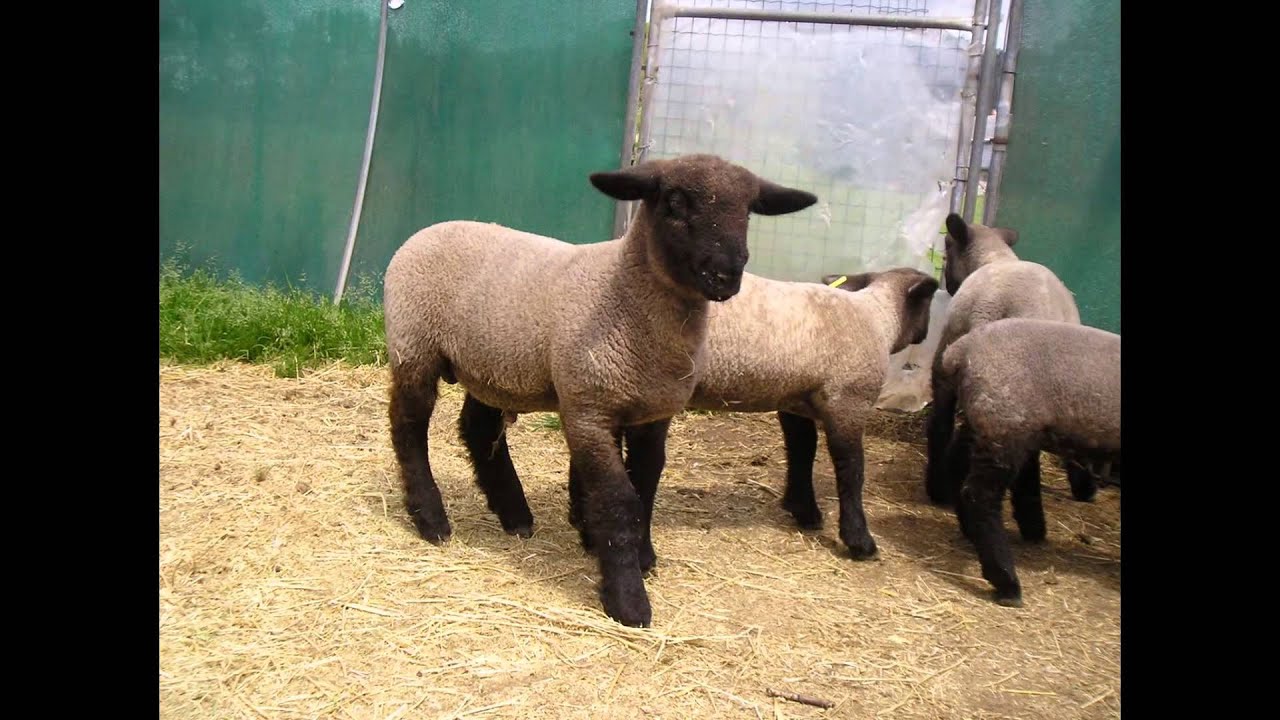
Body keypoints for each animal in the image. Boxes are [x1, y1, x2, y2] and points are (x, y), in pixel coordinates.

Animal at [381, 153, 817, 627]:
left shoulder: (652, 413)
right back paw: (431, 519)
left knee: (478, 429)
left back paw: (514, 514)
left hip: (489, 365)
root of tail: (429, 229)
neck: (624, 291)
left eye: (749, 210)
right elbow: (617, 499)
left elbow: (646, 485)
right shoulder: (589, 411)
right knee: (408, 427)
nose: (725, 275)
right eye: (674, 202)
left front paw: (640, 556)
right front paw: (628, 599)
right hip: (414, 345)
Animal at [567, 266, 939, 562]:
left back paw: (584, 526)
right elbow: (851, 471)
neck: (877, 318)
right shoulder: (848, 402)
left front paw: (803, 509)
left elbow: (801, 451)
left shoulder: (795, 402)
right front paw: (859, 540)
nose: (924, 335)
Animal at [936, 317, 1120, 606]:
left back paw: (969, 532)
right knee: (980, 496)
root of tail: (961, 351)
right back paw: (1006, 581)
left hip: (985, 422)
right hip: (1006, 424)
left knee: (956, 465)